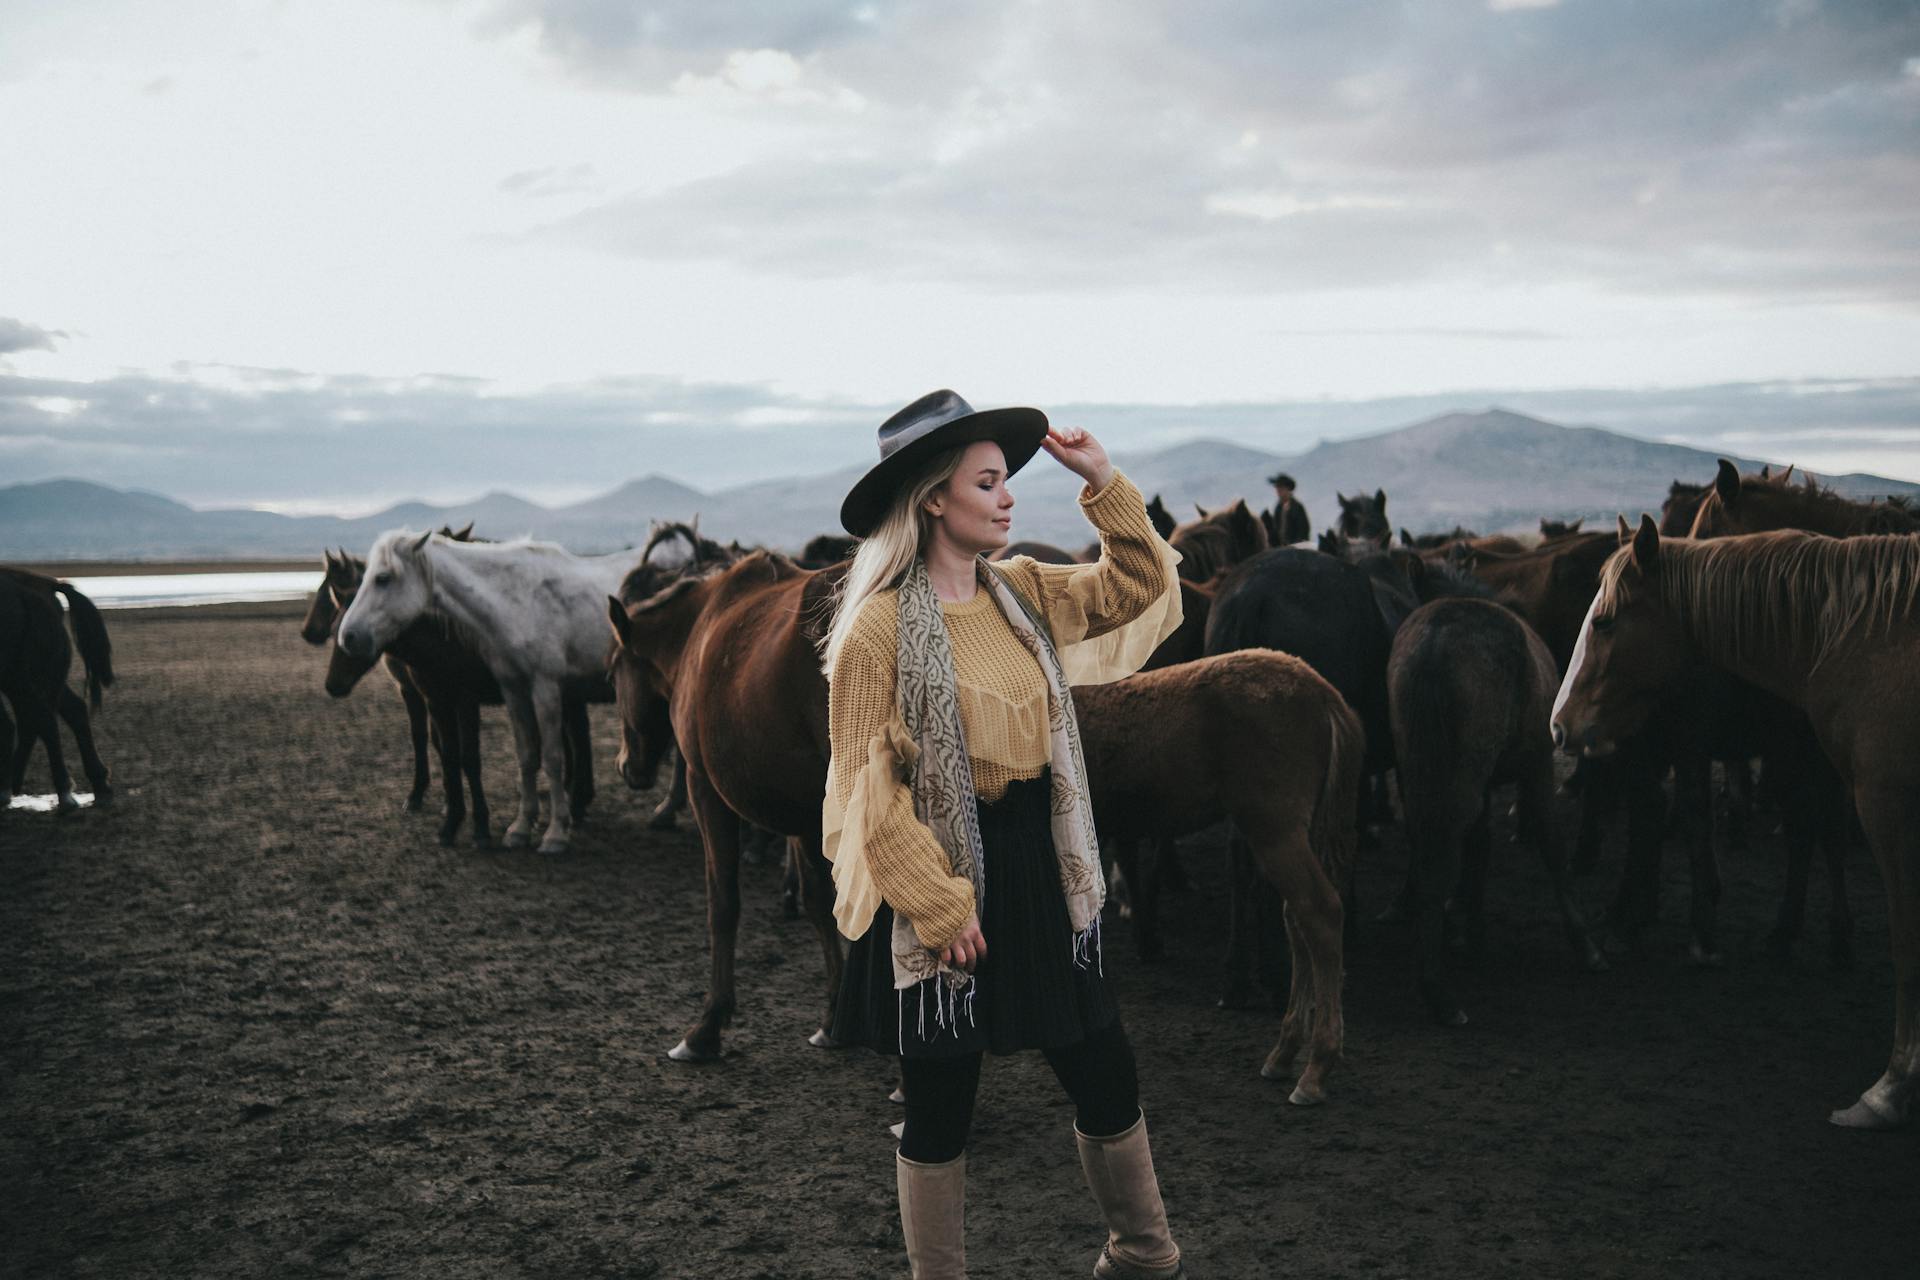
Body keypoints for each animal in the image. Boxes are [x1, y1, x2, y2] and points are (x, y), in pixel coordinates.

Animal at [339, 529, 645, 852]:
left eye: (383, 578)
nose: (348, 636)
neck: (516, 601)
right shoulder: (513, 689)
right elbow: (526, 755)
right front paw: (521, 828)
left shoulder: (545, 688)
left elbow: (552, 758)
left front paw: (555, 834)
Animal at [599, 552, 840, 1059]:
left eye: (612, 675)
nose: (627, 765)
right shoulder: (801, 813)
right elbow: (818, 901)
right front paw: (835, 1017)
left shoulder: (704, 791)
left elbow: (723, 903)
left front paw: (707, 1026)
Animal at [1075, 656, 1359, 1105]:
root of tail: (1325, 696)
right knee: (1298, 920)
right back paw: (1284, 1053)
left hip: (1274, 828)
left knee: (1319, 913)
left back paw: (1315, 1069)